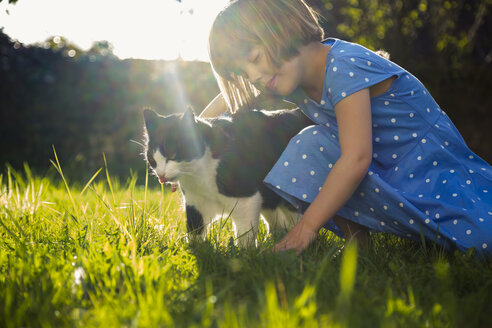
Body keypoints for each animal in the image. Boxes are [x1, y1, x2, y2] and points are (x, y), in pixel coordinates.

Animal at [142, 107, 312, 246]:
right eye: (151, 158)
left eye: (172, 154)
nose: (161, 175)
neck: (200, 175)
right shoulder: (195, 203)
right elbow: (195, 233)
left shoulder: (246, 200)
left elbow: (245, 236)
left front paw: (245, 254)